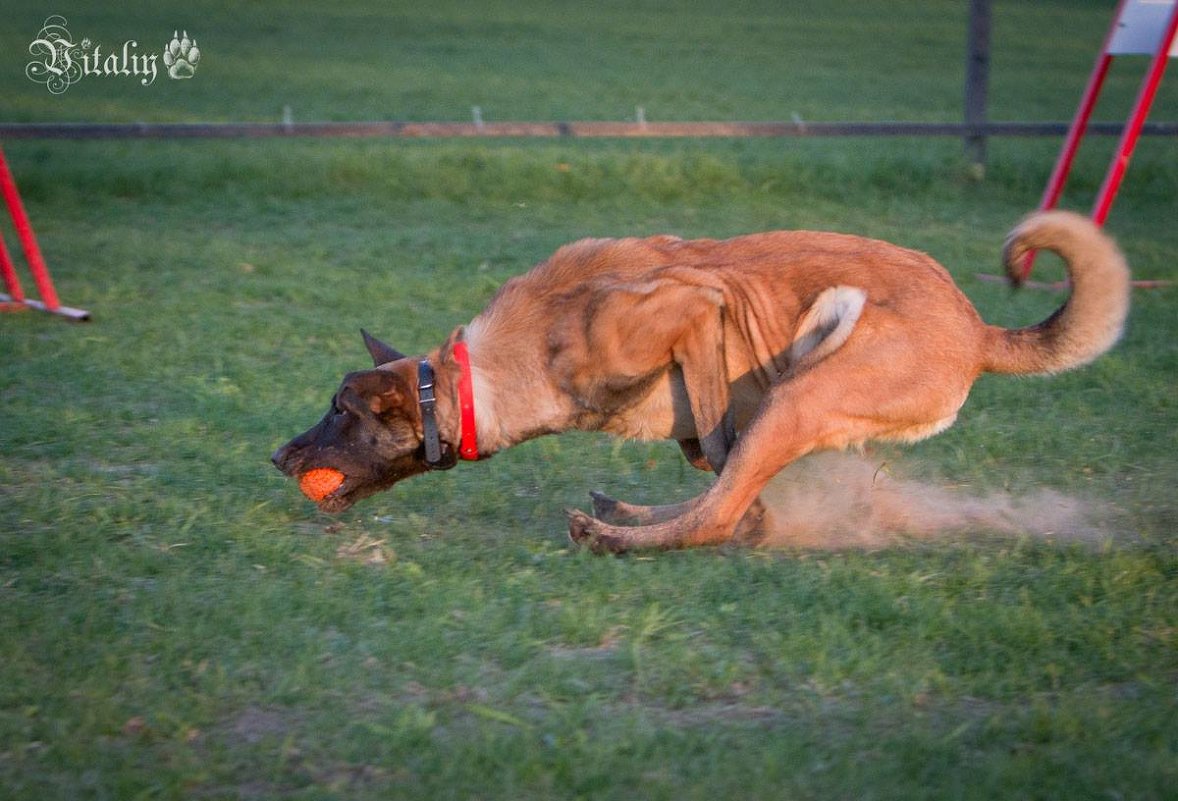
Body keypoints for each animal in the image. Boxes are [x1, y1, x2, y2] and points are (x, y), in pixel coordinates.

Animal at [270, 209, 1126, 553]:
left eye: (340, 410)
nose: (277, 456)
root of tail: (977, 327)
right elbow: (711, 459)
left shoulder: (697, 310)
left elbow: (719, 455)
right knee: (723, 494)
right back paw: (629, 511)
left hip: (800, 394)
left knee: (718, 512)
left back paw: (619, 537)